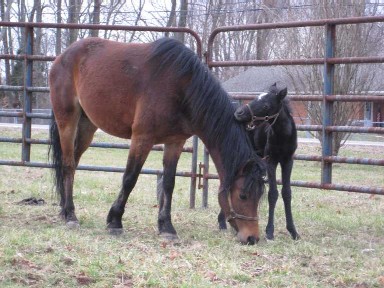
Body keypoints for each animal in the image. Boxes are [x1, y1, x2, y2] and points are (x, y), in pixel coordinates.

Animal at [48, 37, 264, 244]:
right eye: (243, 195)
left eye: (260, 195)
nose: (252, 238)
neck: (182, 89)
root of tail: (63, 56)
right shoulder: (142, 138)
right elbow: (130, 178)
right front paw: (115, 221)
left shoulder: (175, 142)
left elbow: (169, 183)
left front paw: (166, 227)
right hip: (68, 120)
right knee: (68, 164)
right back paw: (70, 215)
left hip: (87, 126)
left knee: (74, 163)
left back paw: (64, 208)